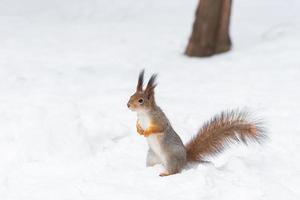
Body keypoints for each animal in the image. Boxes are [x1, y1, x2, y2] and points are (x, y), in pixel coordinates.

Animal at [126, 70, 264, 177]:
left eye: (140, 100)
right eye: (131, 95)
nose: (127, 105)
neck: (143, 114)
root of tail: (185, 158)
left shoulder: (160, 119)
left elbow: (159, 128)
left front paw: (147, 132)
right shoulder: (139, 120)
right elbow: (137, 125)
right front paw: (139, 130)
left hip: (171, 157)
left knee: (175, 171)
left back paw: (166, 173)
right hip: (151, 158)